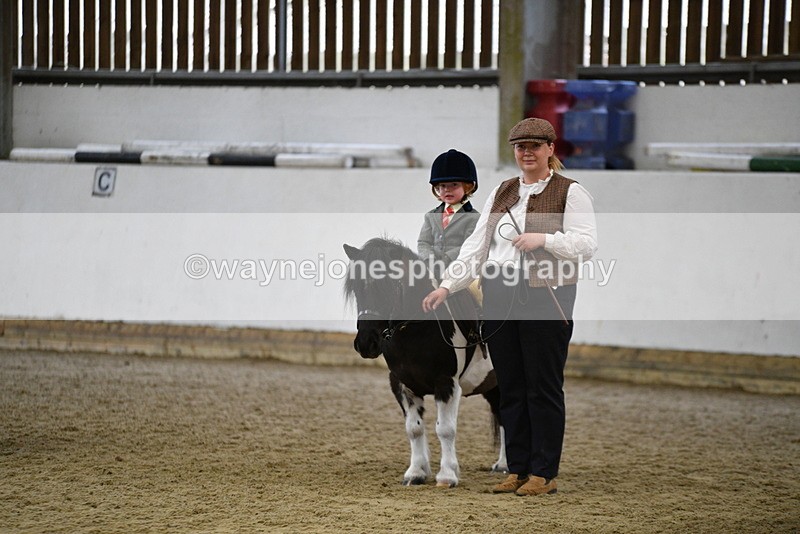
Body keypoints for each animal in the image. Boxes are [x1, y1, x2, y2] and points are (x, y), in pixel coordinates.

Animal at [343, 237, 507, 487]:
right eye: (357, 289)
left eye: (389, 287)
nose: (366, 343)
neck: (416, 330)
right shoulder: (402, 385)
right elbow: (414, 429)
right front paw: (416, 473)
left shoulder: (446, 383)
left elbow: (446, 430)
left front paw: (447, 475)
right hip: (492, 384)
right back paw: (503, 464)